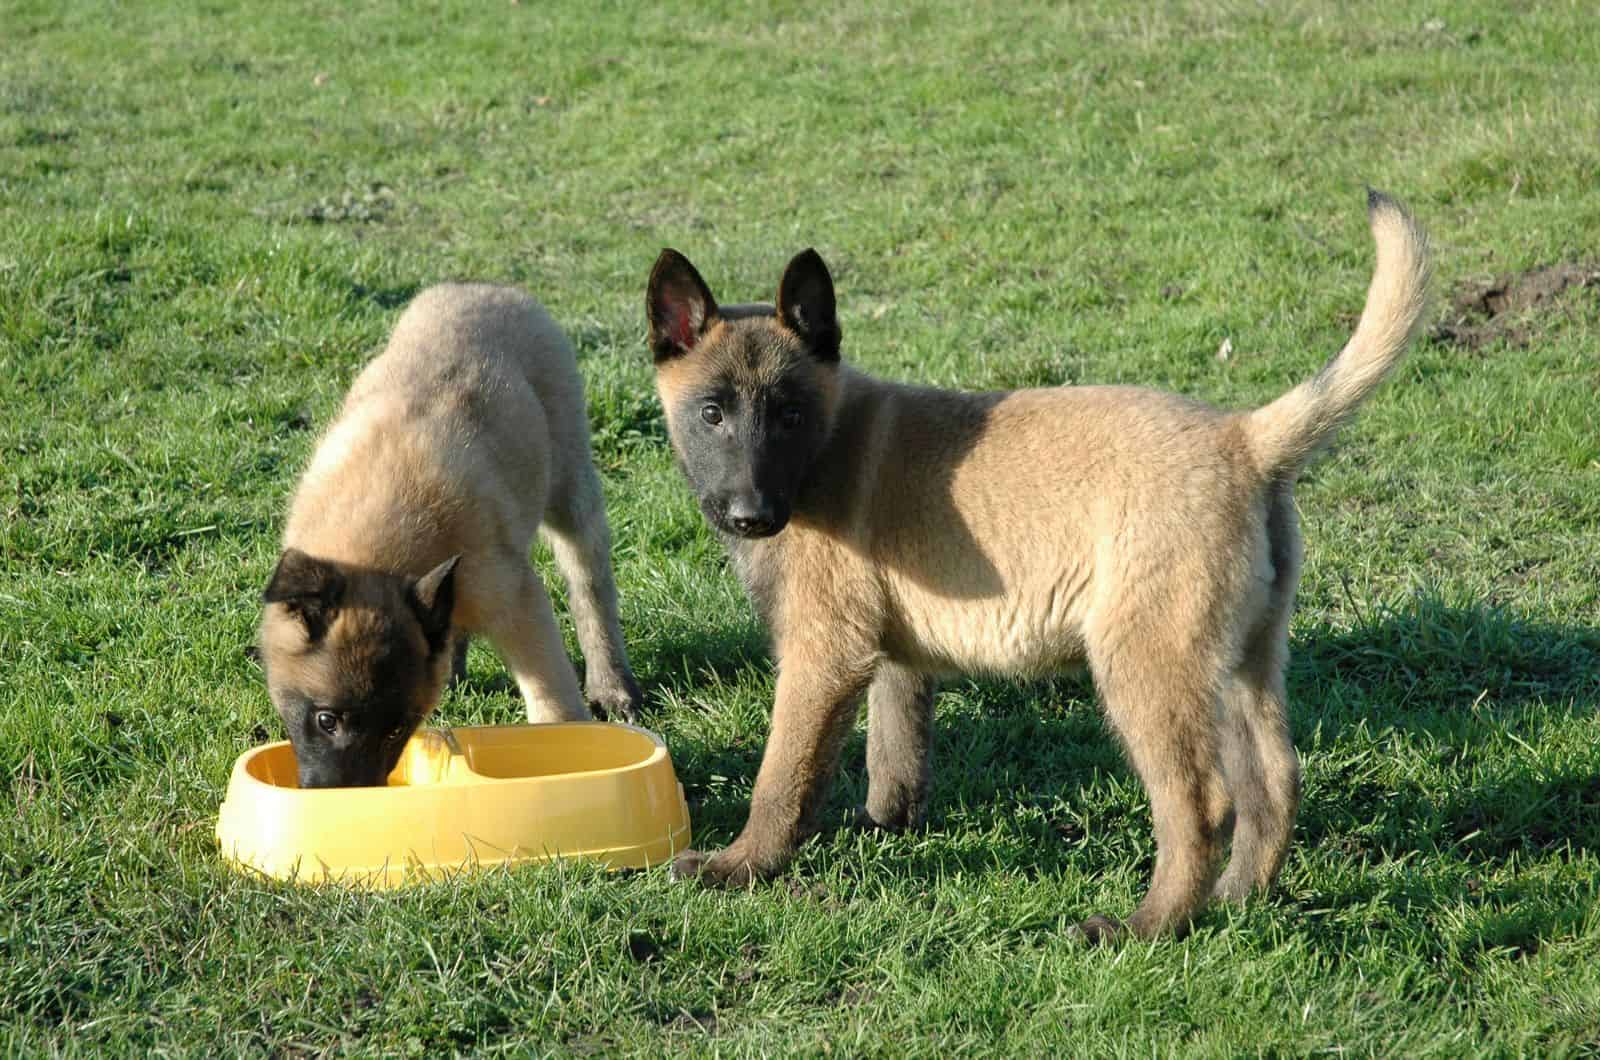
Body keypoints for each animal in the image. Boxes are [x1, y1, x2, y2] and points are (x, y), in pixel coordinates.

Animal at [259, 281, 640, 787]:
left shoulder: (519, 604)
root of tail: (485, 287)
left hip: (571, 490)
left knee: (591, 588)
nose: (343, 797)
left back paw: (612, 684)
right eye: (327, 720)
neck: (378, 556)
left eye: (396, 728)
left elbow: (553, 699)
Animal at [643, 195, 1433, 941]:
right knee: (1272, 781)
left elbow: (783, 778)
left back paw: (1148, 927)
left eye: (789, 414)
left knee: (1202, 804)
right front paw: (882, 827)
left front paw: (741, 865)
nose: (750, 514)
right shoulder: (893, 654)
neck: (823, 451)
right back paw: (1236, 900)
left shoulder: (822, 656)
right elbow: (895, 755)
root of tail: (1245, 439)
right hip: (1243, 657)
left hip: (1145, 662)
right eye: (712, 413)